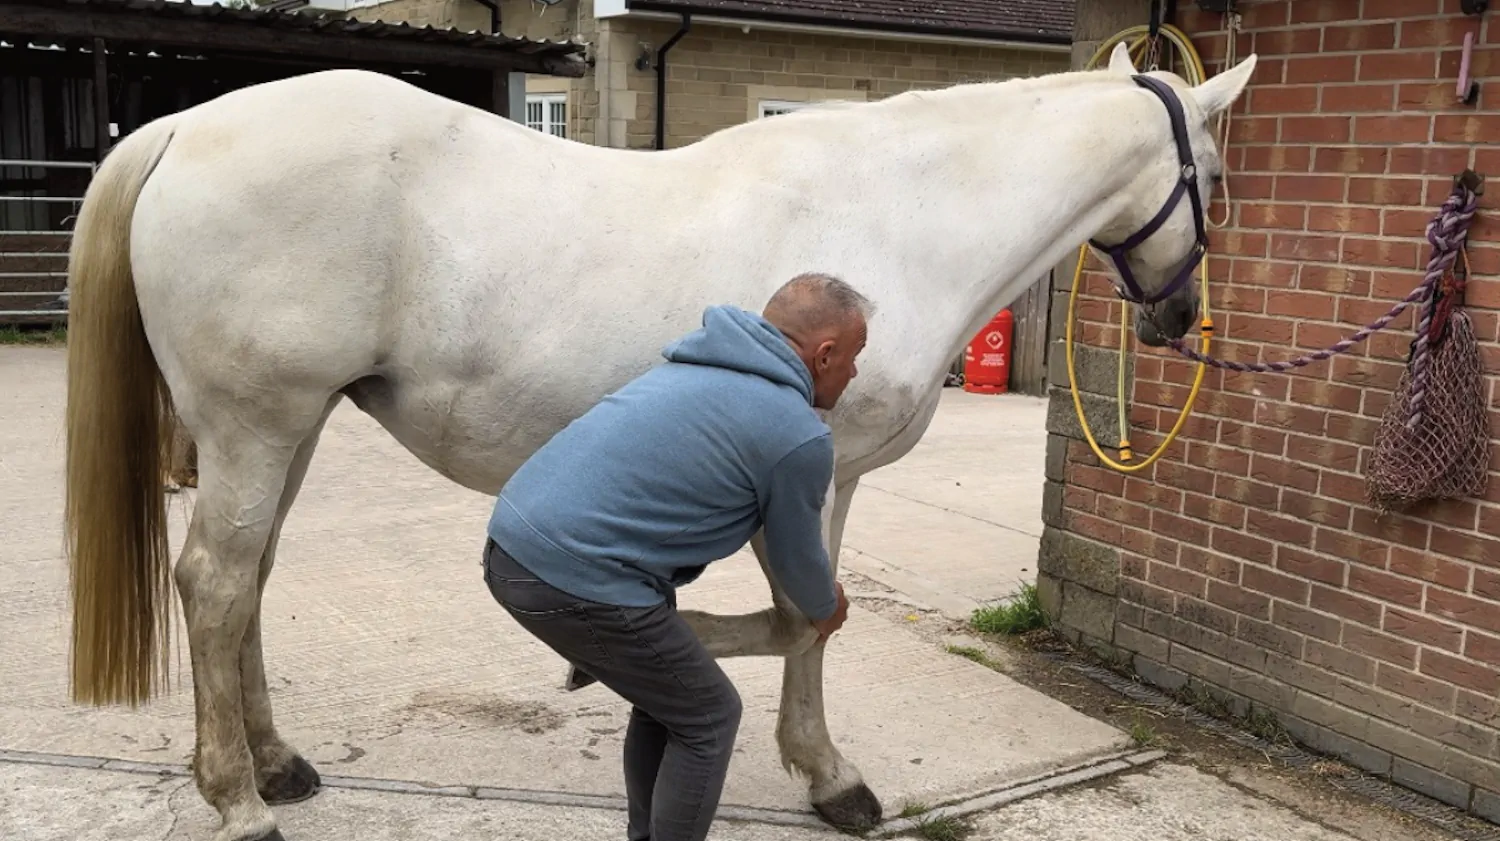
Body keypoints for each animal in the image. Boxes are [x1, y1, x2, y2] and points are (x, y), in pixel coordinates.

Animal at [61, 42, 1255, 841]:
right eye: (1218, 181)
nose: (1178, 319)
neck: (897, 218)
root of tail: (183, 128)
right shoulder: (818, 474)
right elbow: (811, 618)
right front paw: (827, 774)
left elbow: (805, 618)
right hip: (257, 425)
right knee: (216, 586)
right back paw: (236, 798)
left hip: (288, 430)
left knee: (249, 583)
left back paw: (275, 763)